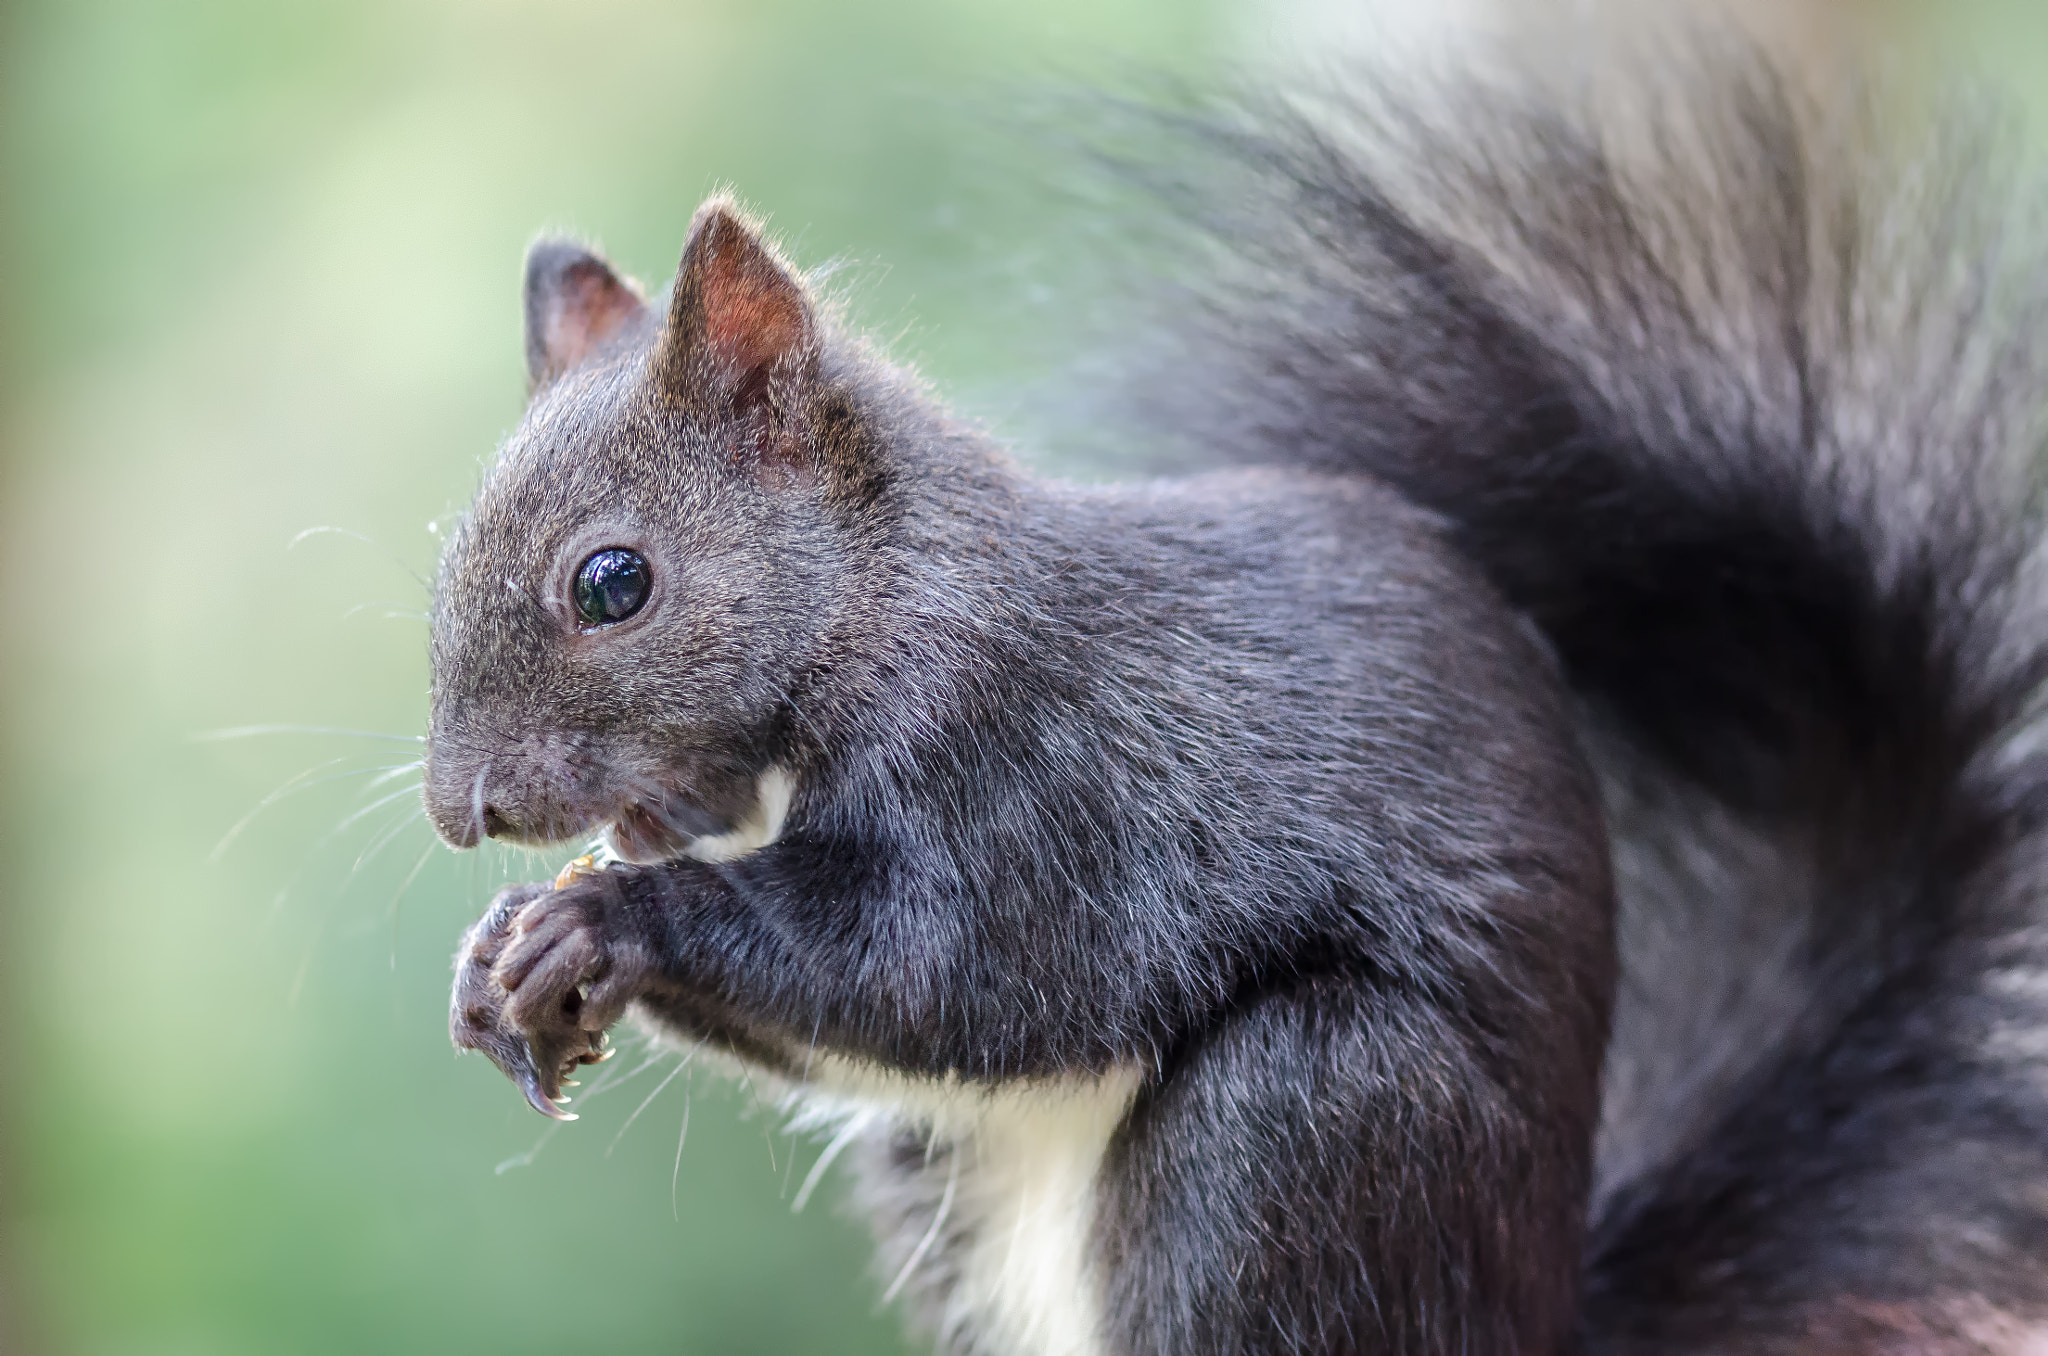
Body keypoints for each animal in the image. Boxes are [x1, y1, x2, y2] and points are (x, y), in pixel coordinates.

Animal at [423, 39, 2048, 1356]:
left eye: (614, 583)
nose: (460, 814)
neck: (880, 608)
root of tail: (1530, 1312)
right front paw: (504, 951)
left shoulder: (1040, 774)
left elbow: (934, 972)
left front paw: (596, 921)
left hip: (1301, 1128)